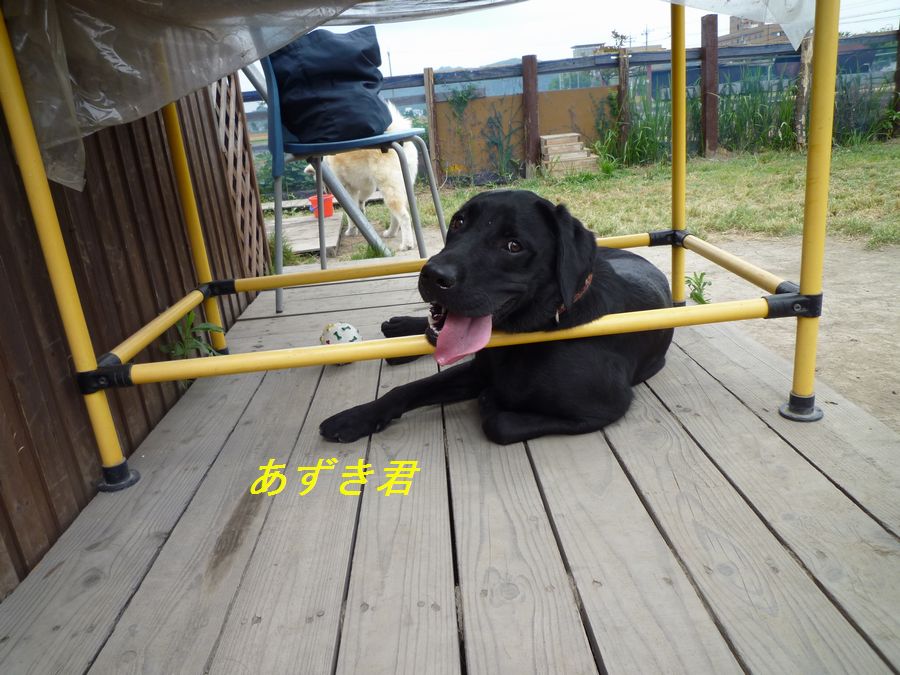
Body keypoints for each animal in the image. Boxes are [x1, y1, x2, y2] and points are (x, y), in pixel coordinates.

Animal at [303, 101, 419, 251]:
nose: (324, 191)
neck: (327, 162)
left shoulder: (348, 188)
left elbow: (350, 214)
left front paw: (351, 230)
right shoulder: (366, 186)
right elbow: (360, 203)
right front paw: (360, 214)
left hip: (389, 187)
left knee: (403, 216)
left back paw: (407, 244)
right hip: (402, 184)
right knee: (396, 215)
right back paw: (391, 233)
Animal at [319, 189, 673, 445]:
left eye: (513, 245)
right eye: (458, 223)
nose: (432, 274)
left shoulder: (606, 407)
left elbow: (498, 422)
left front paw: (491, 401)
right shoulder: (478, 368)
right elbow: (407, 390)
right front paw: (355, 418)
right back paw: (401, 330)